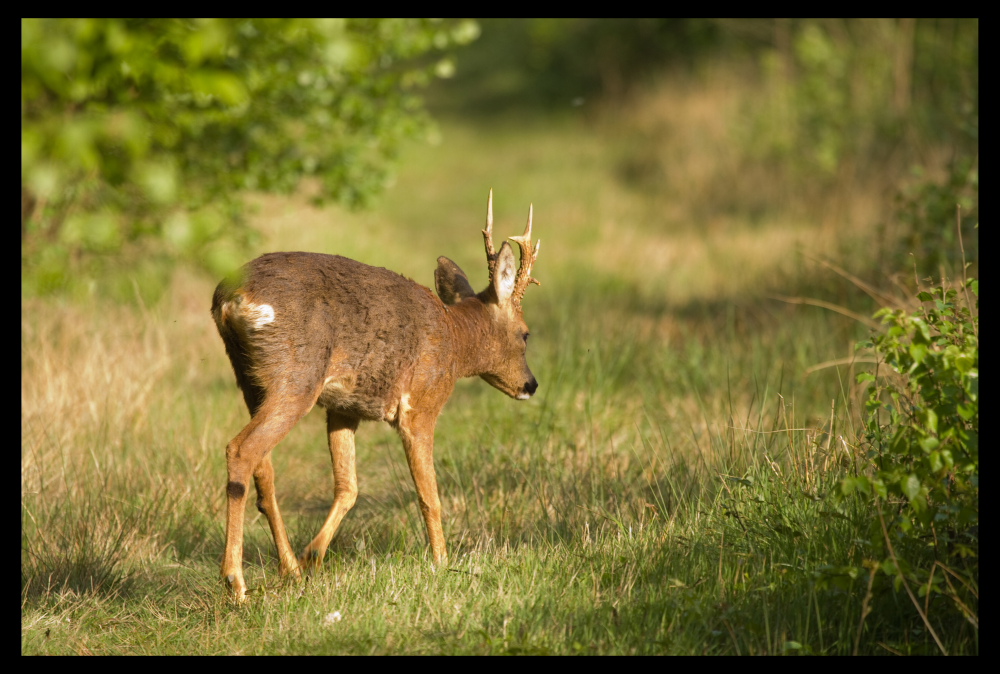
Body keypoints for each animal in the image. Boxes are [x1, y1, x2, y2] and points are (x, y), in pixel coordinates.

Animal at [210, 189, 540, 600]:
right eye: (526, 334)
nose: (531, 384)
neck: (455, 340)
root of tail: (231, 297)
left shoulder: (344, 408)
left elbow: (348, 487)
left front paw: (313, 556)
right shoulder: (421, 404)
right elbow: (429, 495)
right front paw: (443, 563)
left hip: (250, 379)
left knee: (263, 467)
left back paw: (290, 569)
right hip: (295, 375)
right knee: (242, 449)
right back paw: (235, 582)